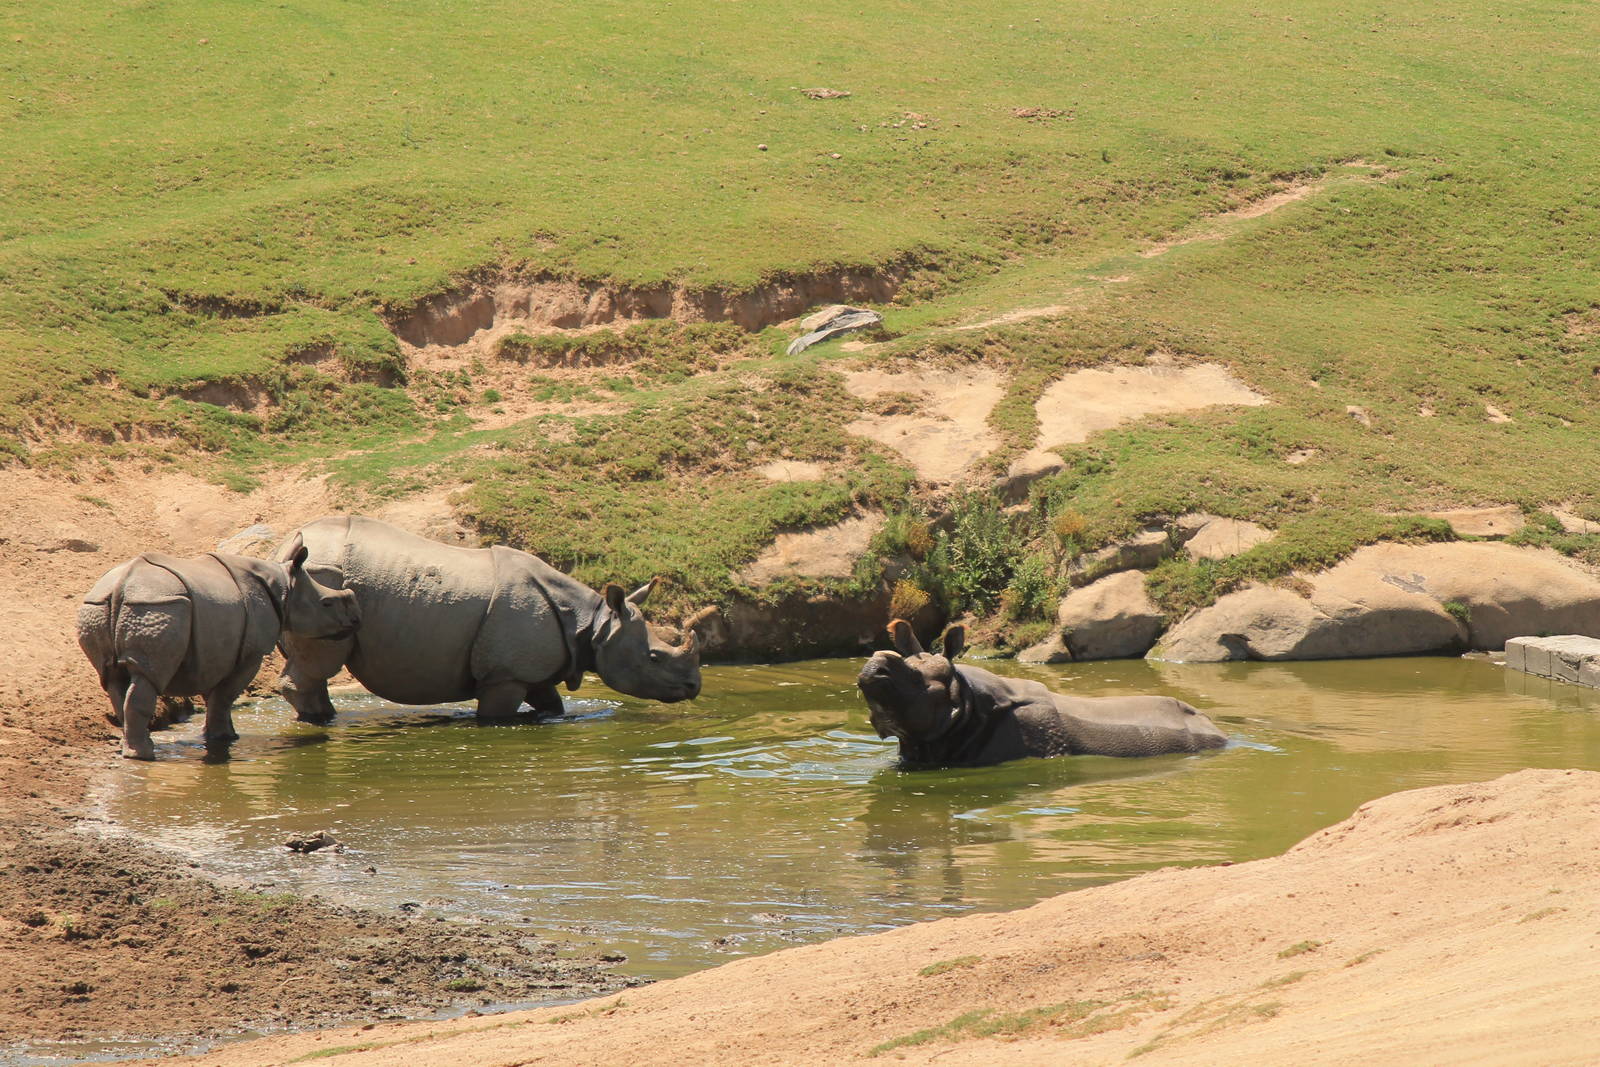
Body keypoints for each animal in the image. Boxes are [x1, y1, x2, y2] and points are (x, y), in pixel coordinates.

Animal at [78, 538, 360, 760]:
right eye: (327, 603)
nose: (355, 620)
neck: (285, 586)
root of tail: (121, 585)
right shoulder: (251, 653)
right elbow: (226, 695)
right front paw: (226, 737)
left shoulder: (214, 648)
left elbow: (214, 693)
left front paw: (217, 736)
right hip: (158, 606)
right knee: (148, 674)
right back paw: (144, 755)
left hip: (100, 605)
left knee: (113, 679)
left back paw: (131, 746)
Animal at [273, 515, 705, 723]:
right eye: (654, 658)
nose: (694, 687)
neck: (595, 623)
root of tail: (283, 544)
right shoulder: (504, 676)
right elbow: (496, 715)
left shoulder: (532, 670)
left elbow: (553, 706)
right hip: (326, 579)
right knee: (320, 662)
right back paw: (320, 723)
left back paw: (327, 717)